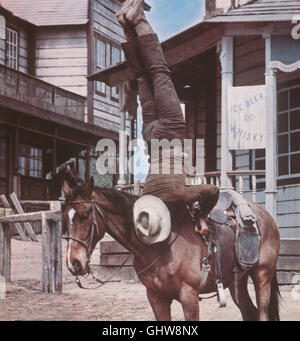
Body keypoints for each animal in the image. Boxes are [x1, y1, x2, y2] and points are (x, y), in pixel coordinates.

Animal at [62, 178, 280, 322]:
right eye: (64, 216)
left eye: (84, 214)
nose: (73, 263)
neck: (161, 245)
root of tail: (266, 216)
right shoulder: (156, 297)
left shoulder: (189, 296)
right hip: (238, 281)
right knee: (249, 312)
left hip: (262, 275)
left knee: (262, 313)